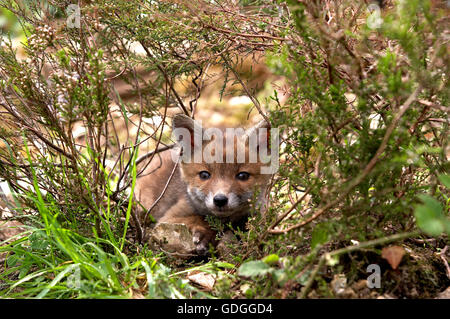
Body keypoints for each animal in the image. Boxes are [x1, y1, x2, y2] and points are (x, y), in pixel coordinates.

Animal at [134, 114, 274, 255]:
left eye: (242, 176)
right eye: (204, 175)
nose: (220, 200)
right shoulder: (167, 219)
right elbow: (197, 218)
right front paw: (205, 233)